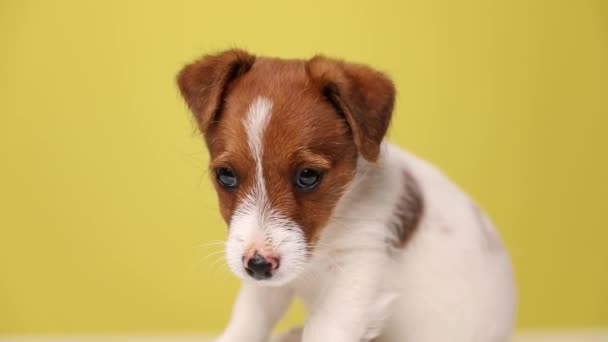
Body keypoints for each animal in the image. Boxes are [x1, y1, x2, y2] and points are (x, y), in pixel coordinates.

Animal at [175, 48, 512, 342]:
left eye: (308, 176)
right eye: (226, 175)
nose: (258, 265)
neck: (330, 229)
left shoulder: (358, 270)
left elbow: (325, 330)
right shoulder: (267, 284)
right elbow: (249, 319)